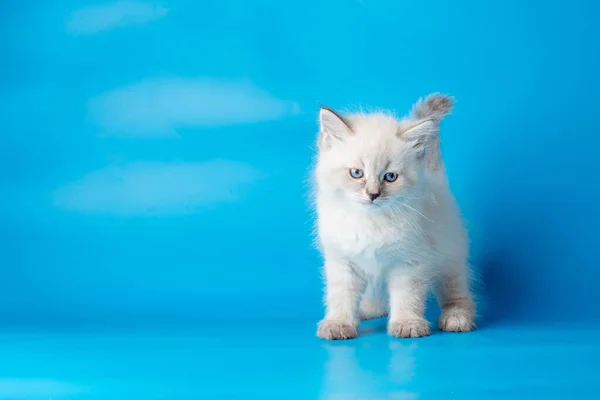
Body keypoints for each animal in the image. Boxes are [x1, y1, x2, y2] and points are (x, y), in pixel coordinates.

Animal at [314, 94, 474, 340]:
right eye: (356, 173)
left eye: (390, 177)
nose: (373, 194)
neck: (370, 220)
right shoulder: (343, 261)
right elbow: (341, 297)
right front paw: (339, 324)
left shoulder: (409, 263)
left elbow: (406, 297)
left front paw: (407, 324)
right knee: (376, 294)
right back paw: (367, 310)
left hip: (449, 257)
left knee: (456, 289)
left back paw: (456, 318)